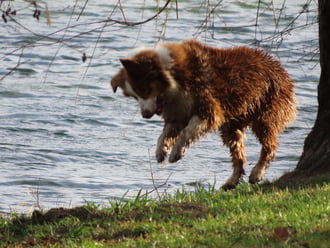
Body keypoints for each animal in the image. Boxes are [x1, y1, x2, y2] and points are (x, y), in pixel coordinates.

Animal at [111, 39, 296, 190]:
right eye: (134, 96)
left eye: (144, 89)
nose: (145, 115)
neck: (173, 75)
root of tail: (279, 67)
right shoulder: (178, 111)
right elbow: (166, 133)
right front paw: (161, 151)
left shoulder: (207, 105)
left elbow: (188, 131)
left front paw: (176, 152)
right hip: (232, 125)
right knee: (238, 153)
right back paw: (231, 181)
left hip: (267, 109)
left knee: (269, 144)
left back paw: (257, 173)